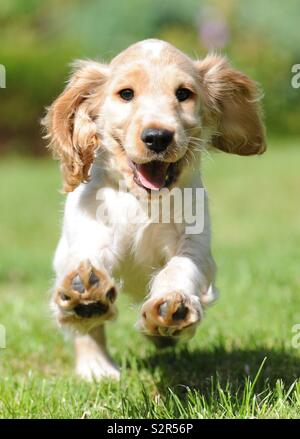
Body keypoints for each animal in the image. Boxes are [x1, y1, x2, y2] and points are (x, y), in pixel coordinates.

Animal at [41, 38, 264, 382]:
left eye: (183, 93)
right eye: (126, 94)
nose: (158, 137)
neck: (143, 202)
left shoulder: (195, 245)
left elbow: (179, 268)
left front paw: (172, 306)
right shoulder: (91, 232)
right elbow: (89, 261)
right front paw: (84, 291)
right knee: (86, 329)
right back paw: (96, 364)